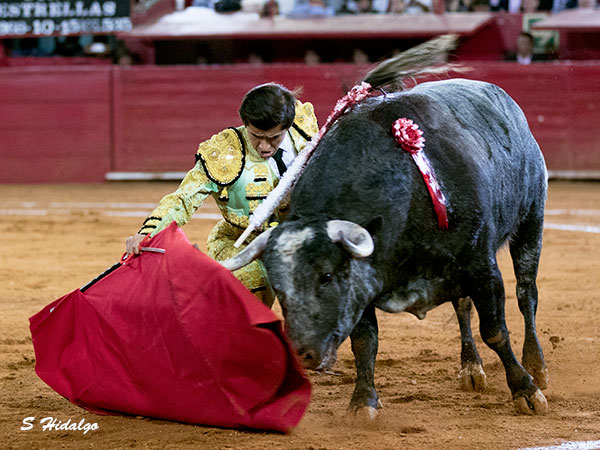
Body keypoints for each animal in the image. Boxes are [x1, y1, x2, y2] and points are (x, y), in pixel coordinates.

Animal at [223, 69, 549, 417]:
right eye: (279, 288)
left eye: (326, 276)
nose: (303, 353)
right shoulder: (363, 282)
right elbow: (365, 341)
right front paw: (363, 401)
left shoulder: (481, 266)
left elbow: (495, 331)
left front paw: (525, 389)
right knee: (462, 306)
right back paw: (471, 368)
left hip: (531, 220)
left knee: (526, 293)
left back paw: (537, 366)